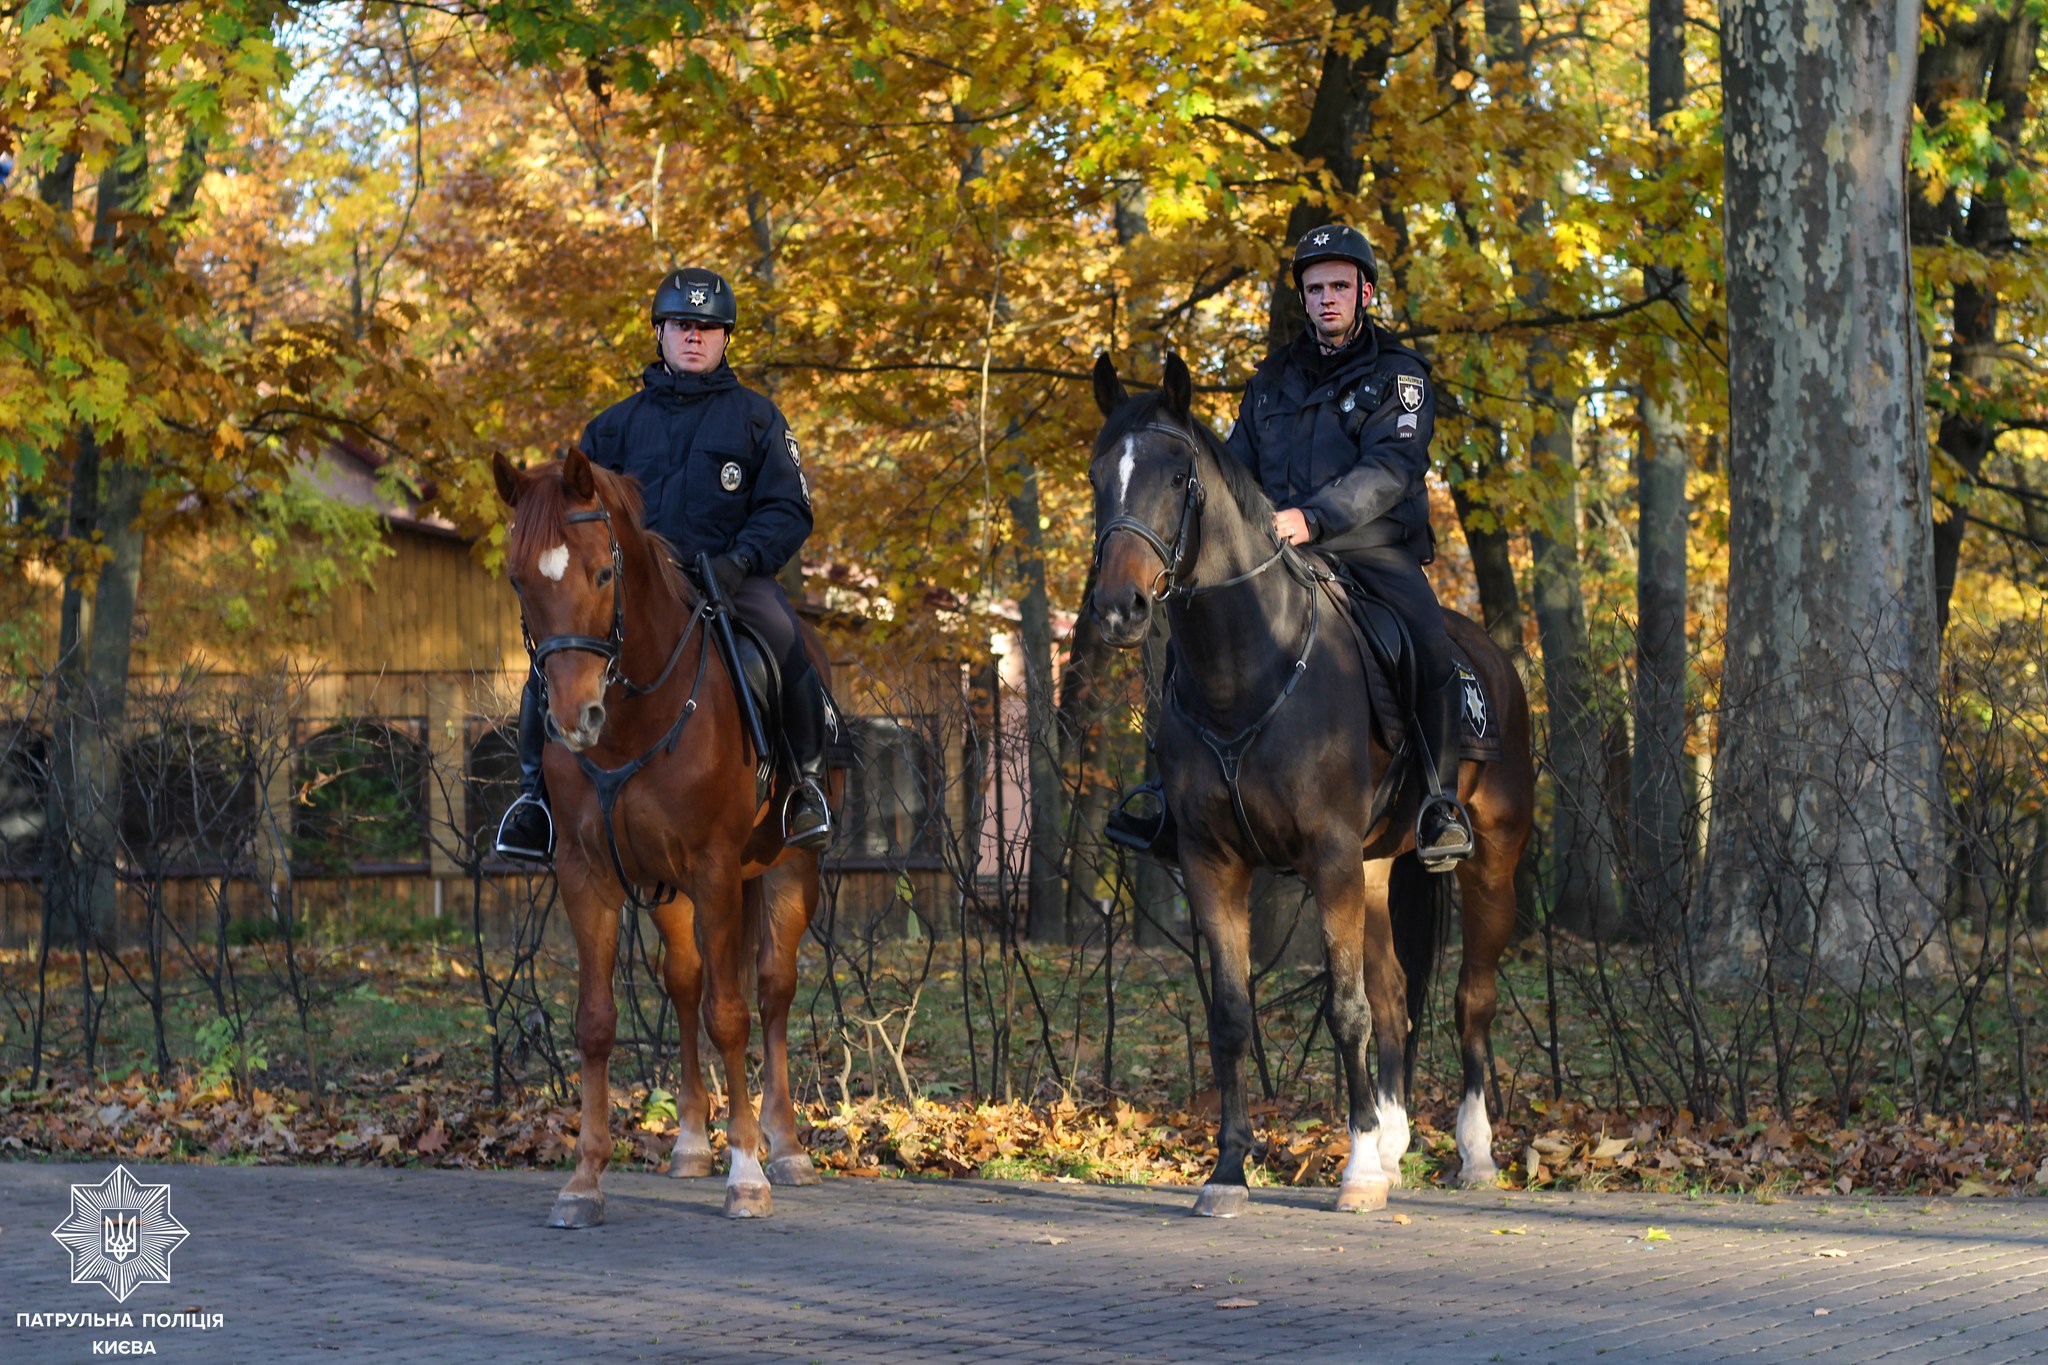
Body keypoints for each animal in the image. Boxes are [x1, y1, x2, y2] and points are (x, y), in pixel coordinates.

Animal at [491, 450, 835, 1227]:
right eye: (519, 580)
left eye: (602, 573)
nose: (573, 717)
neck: (633, 719)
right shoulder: (586, 874)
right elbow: (596, 1021)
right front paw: (584, 1179)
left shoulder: (715, 871)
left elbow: (730, 1016)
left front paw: (748, 1174)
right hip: (670, 891)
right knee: (684, 982)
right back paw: (690, 1144)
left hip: (790, 869)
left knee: (771, 989)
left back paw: (785, 1146)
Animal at [1097, 356, 1531, 1219]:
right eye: (1100, 476)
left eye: (1175, 476)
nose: (1117, 608)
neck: (1248, 666)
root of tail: (1490, 655)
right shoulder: (1212, 862)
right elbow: (1233, 1013)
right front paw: (1230, 1168)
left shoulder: (1327, 856)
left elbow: (1344, 1007)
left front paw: (1357, 1170)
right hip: (1375, 868)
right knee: (1396, 992)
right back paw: (1395, 1141)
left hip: (1489, 860)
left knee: (1470, 996)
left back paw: (1472, 1151)